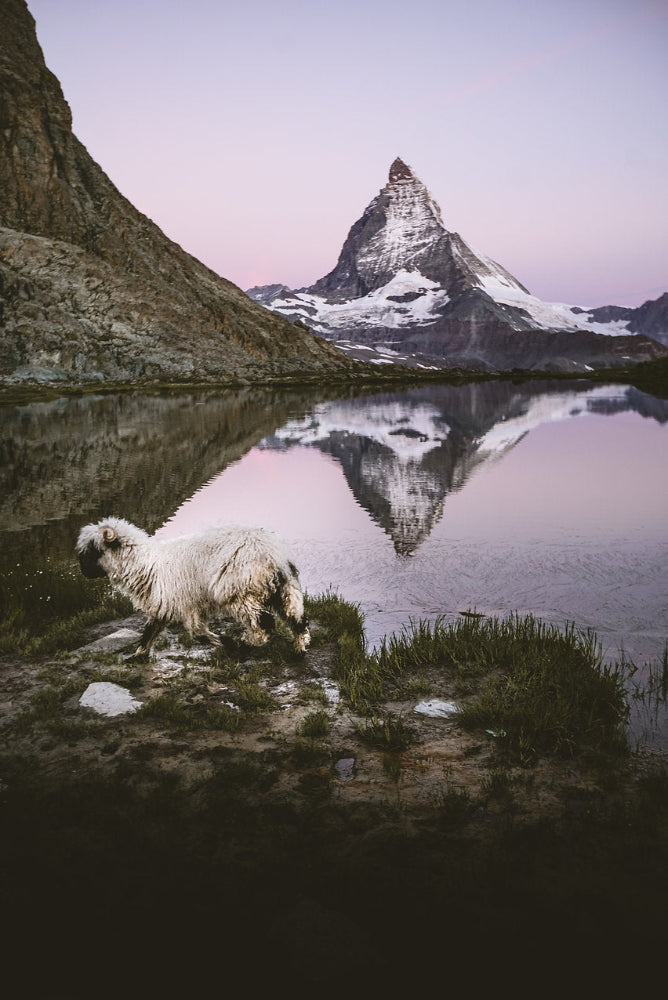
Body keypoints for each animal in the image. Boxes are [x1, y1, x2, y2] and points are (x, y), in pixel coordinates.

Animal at [76, 516, 310, 660]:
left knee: (264, 622)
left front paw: (229, 643)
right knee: (297, 618)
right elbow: (151, 629)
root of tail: (274, 556)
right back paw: (299, 650)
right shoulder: (168, 605)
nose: (83, 573)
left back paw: (250, 642)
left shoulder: (186, 604)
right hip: (284, 589)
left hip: (239, 592)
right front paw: (138, 655)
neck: (146, 564)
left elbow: (197, 633)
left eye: (93, 550)